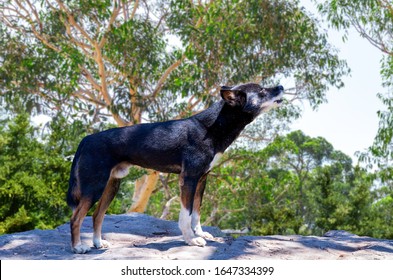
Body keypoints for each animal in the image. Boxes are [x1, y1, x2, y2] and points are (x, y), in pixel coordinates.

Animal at [66, 82, 282, 254]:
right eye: (261, 91)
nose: (280, 86)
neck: (211, 127)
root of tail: (86, 139)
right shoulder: (188, 178)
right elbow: (186, 215)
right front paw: (191, 239)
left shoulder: (201, 179)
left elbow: (196, 212)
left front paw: (200, 233)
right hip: (94, 187)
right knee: (76, 218)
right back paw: (78, 247)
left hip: (111, 186)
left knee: (97, 215)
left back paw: (97, 243)